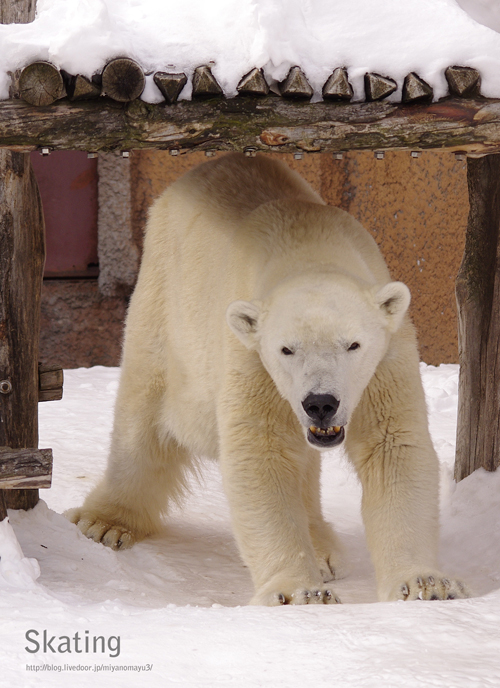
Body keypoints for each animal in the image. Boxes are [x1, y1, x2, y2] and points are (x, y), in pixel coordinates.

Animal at [67, 153, 468, 604]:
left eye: (353, 345)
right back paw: (105, 522)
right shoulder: (250, 356)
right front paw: (299, 592)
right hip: (164, 304)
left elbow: (392, 446)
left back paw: (323, 550)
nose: (320, 403)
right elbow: (263, 454)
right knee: (143, 413)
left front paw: (427, 585)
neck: (308, 247)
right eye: (286, 349)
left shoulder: (385, 361)